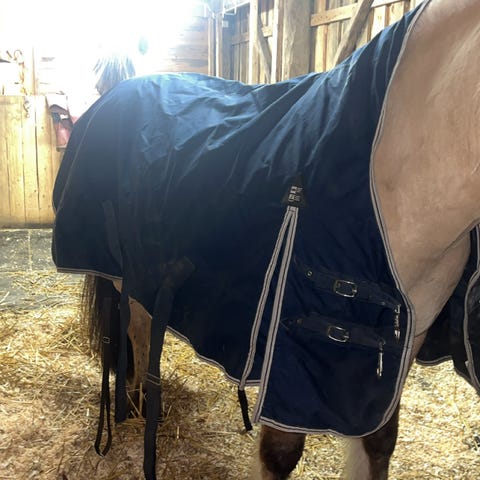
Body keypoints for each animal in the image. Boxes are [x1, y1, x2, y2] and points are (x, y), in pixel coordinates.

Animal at [52, 0, 480, 478]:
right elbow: (281, 452)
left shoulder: (398, 345)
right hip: (121, 274)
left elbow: (378, 440)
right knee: (138, 329)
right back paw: (140, 407)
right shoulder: (289, 347)